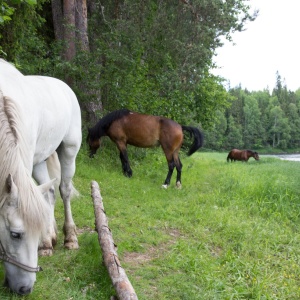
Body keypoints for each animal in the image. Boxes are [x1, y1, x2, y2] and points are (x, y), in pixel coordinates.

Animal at [0, 59, 82, 294]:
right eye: (16, 234)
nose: (25, 288)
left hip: (69, 151)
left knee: (64, 191)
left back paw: (68, 239)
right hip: (39, 162)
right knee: (49, 193)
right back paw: (49, 241)